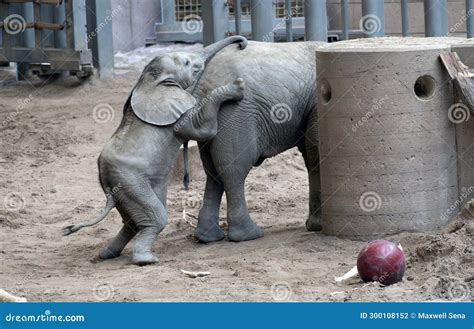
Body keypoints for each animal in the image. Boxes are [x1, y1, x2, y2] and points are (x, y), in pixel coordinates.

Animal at [63, 36, 248, 264]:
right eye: (187, 63)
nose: (242, 43)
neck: (149, 82)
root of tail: (107, 188)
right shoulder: (177, 113)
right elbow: (203, 130)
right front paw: (238, 86)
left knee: (133, 221)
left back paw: (107, 254)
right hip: (128, 179)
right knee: (156, 216)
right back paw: (145, 260)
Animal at [192, 40, 322, 241]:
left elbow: (311, 154)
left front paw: (315, 226)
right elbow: (317, 153)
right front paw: (318, 227)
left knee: (213, 173)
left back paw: (207, 237)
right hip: (236, 114)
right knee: (234, 169)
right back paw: (248, 235)